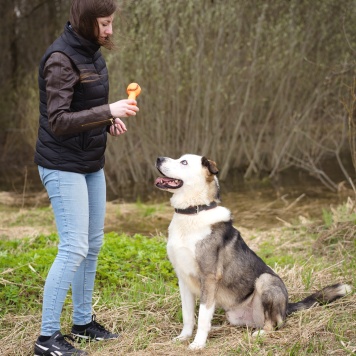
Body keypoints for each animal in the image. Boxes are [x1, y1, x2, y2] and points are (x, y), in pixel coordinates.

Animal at [154, 154, 352, 350]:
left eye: (184, 162)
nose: (158, 159)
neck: (193, 212)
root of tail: (287, 307)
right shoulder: (183, 279)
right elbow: (188, 315)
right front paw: (184, 337)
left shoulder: (209, 277)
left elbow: (203, 315)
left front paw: (198, 343)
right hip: (234, 314)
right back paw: (218, 327)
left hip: (266, 281)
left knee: (275, 324)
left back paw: (261, 333)